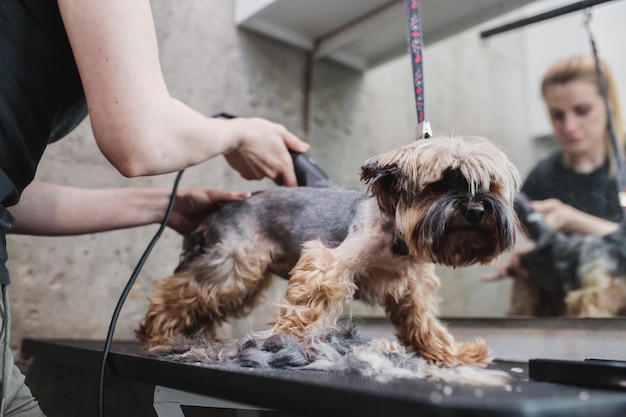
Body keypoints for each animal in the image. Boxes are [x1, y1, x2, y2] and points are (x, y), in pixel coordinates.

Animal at [138, 135, 520, 366]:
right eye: (442, 182)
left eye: (489, 186)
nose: (476, 209)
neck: (398, 236)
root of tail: (217, 211)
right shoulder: (329, 263)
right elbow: (308, 304)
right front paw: (288, 341)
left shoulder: (414, 291)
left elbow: (424, 324)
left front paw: (451, 354)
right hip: (233, 268)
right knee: (178, 291)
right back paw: (160, 334)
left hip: (243, 278)